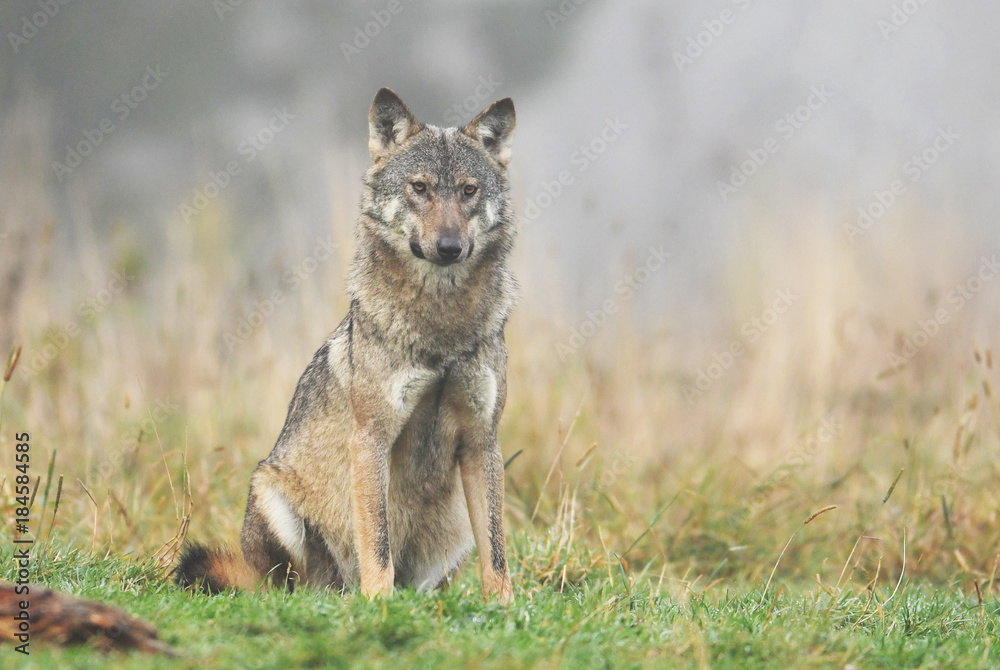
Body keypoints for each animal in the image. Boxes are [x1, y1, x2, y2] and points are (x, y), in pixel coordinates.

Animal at [174, 88, 516, 602]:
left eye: (468, 191)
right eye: (420, 188)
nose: (450, 247)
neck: (440, 324)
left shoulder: (482, 440)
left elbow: (496, 552)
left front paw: (506, 606)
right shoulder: (371, 437)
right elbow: (377, 542)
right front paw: (380, 603)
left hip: (454, 527)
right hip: (272, 497)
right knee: (289, 586)